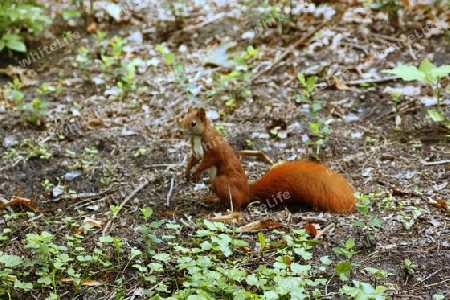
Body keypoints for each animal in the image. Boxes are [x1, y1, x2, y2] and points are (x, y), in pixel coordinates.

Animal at [181, 106, 356, 212]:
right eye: (183, 118)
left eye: (193, 123)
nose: (180, 131)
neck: (198, 136)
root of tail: (247, 191)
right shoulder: (195, 151)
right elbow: (192, 160)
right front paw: (187, 173)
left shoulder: (213, 150)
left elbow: (206, 162)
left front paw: (195, 174)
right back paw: (212, 199)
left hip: (222, 182)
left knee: (236, 205)